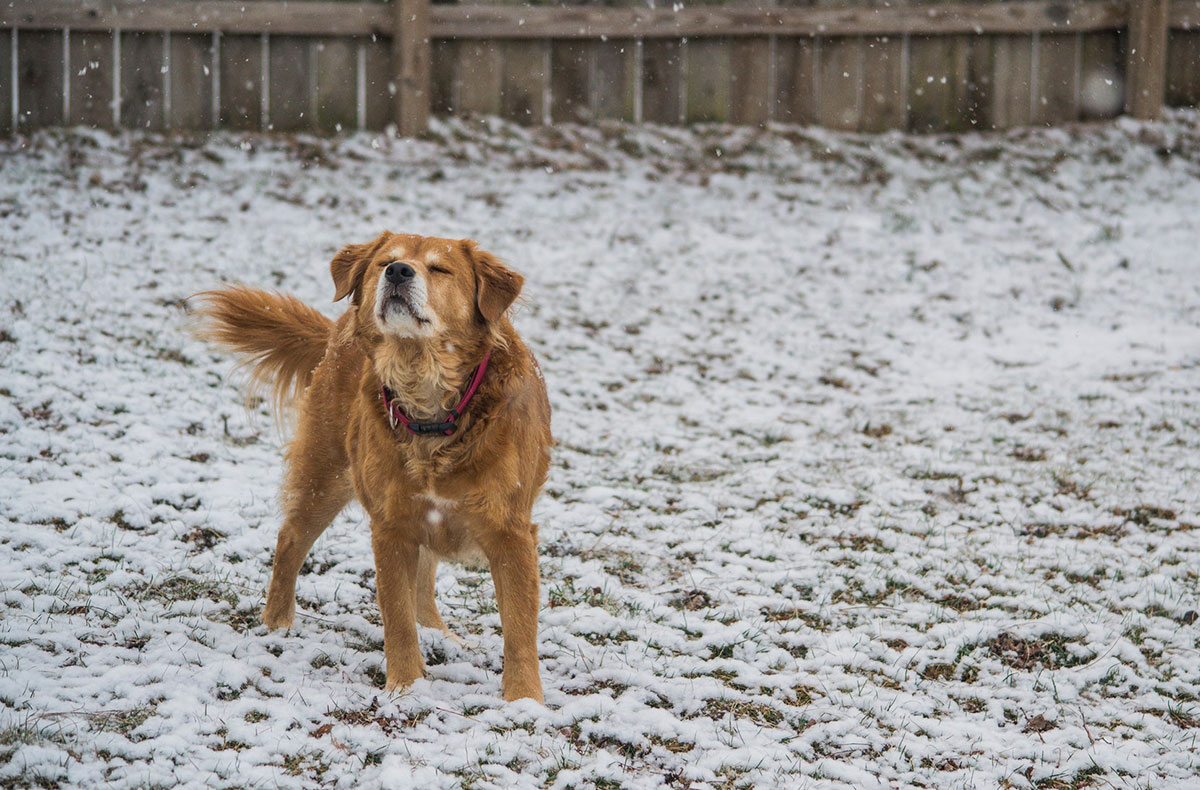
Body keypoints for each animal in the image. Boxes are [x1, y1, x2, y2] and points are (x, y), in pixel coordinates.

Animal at [192, 230, 552, 696]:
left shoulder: (511, 532)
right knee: (290, 541)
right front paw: (406, 687)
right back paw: (277, 624)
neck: (430, 402)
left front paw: (524, 700)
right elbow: (396, 617)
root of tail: (334, 334)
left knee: (425, 579)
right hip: (325, 475)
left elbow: (520, 629)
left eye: (440, 269)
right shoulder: (391, 526)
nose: (398, 272)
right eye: (385, 261)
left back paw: (438, 633)